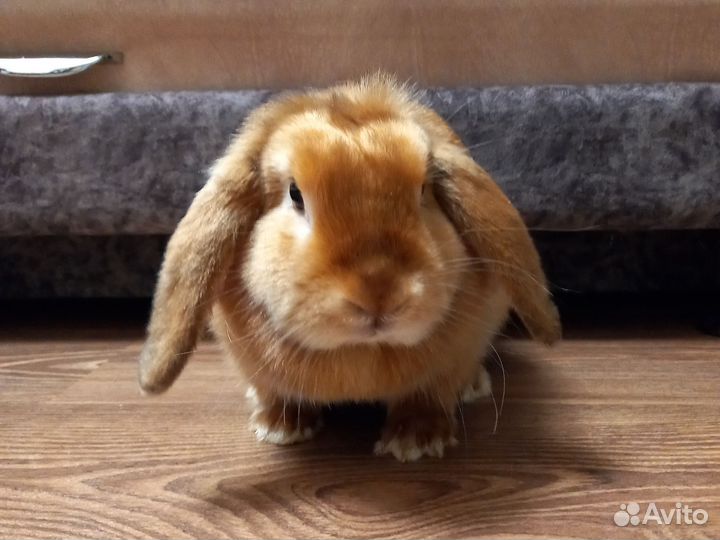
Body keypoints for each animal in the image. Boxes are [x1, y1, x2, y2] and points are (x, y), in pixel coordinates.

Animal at [138, 74, 561, 461]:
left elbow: (428, 395)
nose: (379, 296)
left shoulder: (451, 360)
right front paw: (279, 428)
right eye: (295, 194)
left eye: (423, 191)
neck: (360, 352)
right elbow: (279, 393)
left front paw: (416, 443)